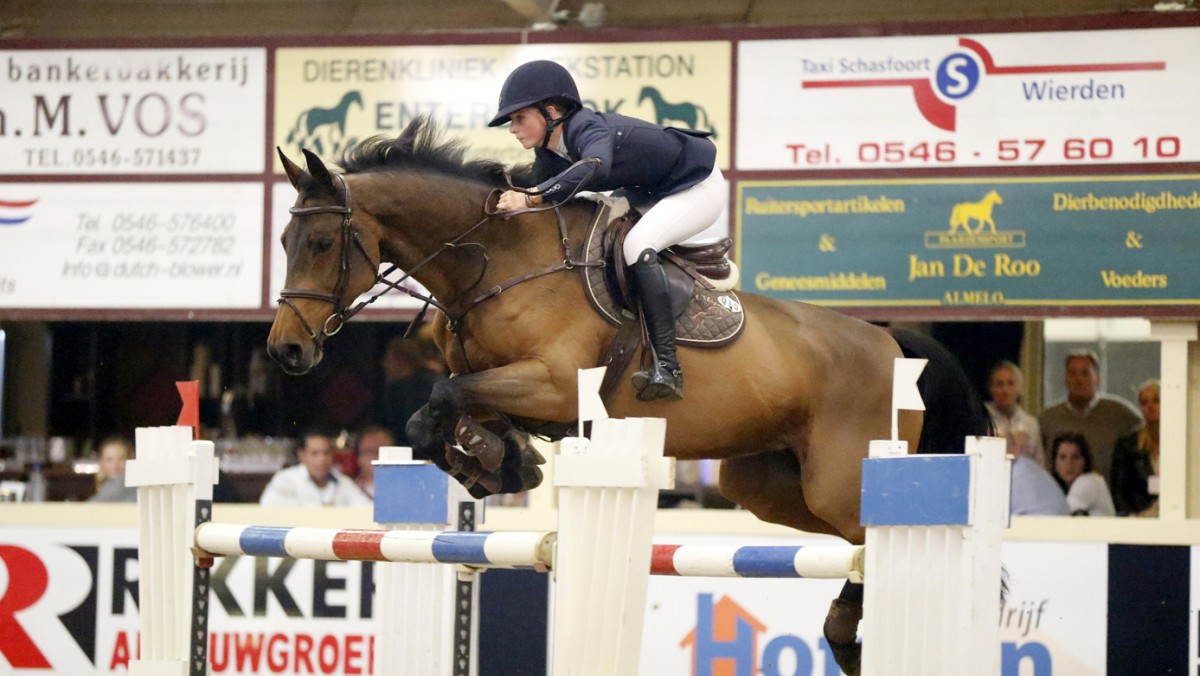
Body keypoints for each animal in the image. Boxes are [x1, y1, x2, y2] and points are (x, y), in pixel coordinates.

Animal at [267, 117, 988, 676]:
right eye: (283, 241)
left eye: (323, 242)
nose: (286, 350)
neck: (496, 262)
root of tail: (890, 340)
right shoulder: (513, 388)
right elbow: (449, 414)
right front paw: (503, 463)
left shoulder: (557, 385)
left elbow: (440, 400)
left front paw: (500, 462)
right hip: (768, 482)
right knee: (849, 540)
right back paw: (845, 630)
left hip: (840, 476)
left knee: (876, 534)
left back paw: (853, 630)